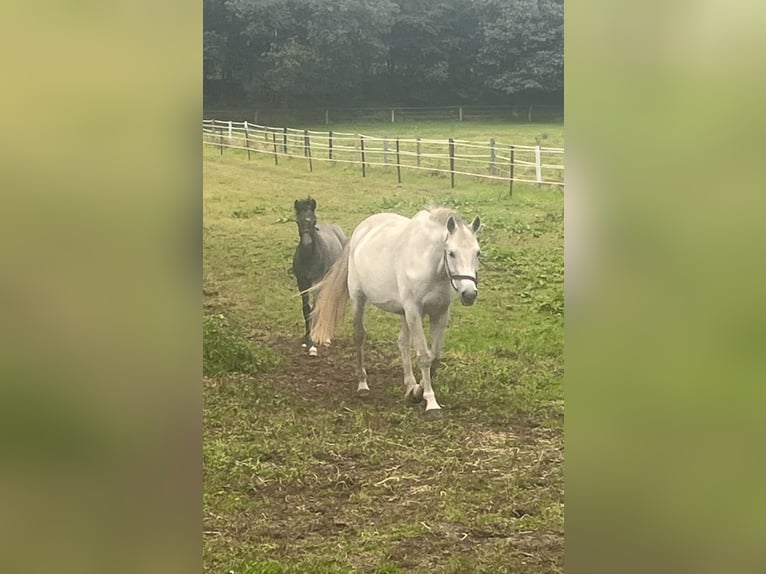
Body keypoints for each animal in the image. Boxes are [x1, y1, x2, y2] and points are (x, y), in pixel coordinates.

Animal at [292, 200, 346, 358]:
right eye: (297, 221)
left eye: (313, 220)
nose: (307, 243)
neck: (310, 258)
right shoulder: (302, 284)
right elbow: (306, 309)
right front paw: (307, 339)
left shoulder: (317, 283)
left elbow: (315, 309)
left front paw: (313, 345)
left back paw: (327, 337)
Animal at [310, 207, 480, 414]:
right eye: (451, 253)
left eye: (477, 253)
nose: (469, 294)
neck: (428, 264)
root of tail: (361, 231)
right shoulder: (414, 311)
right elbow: (424, 356)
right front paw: (430, 401)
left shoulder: (439, 313)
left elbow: (435, 357)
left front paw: (417, 391)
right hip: (359, 298)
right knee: (359, 336)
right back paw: (363, 384)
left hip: (403, 313)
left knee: (403, 343)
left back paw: (409, 385)